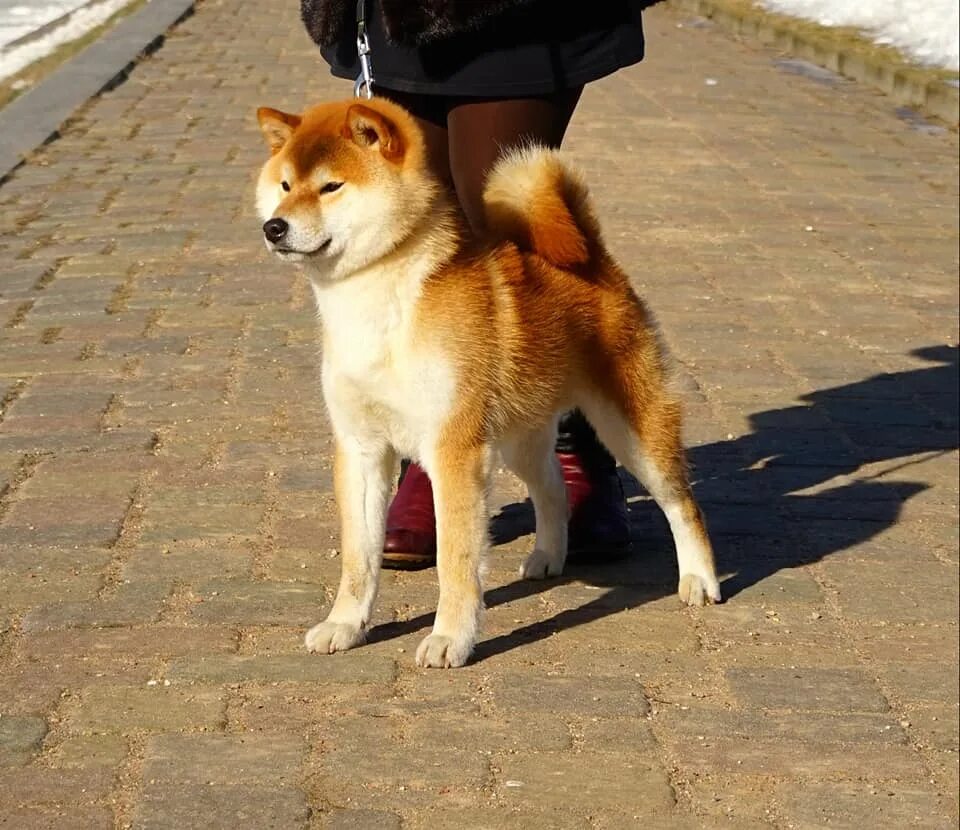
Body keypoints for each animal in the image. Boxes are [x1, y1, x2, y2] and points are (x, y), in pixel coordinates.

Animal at [255, 97, 720, 668]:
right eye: (284, 185)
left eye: (330, 187)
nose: (274, 227)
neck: (378, 300)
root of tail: (592, 256)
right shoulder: (361, 446)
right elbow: (359, 557)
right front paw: (345, 625)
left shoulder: (454, 449)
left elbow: (456, 559)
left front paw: (450, 638)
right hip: (519, 437)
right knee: (553, 490)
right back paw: (548, 556)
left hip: (631, 427)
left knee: (681, 503)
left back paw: (699, 580)